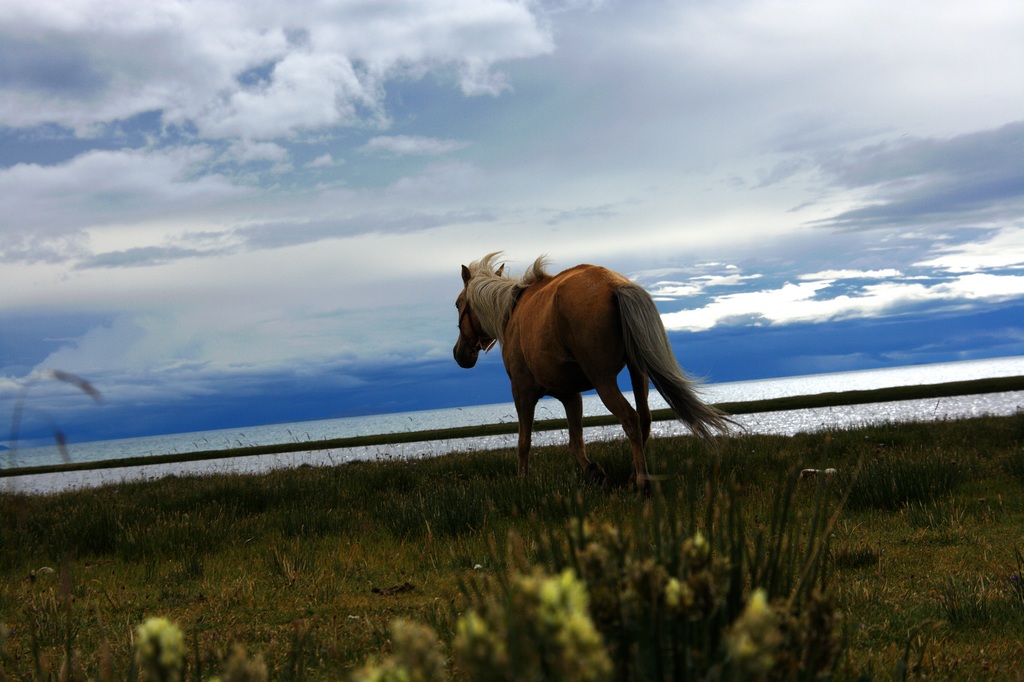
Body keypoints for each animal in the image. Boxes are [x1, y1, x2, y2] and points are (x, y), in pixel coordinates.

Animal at [452, 249, 733, 489]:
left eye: (457, 304)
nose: (459, 354)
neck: (511, 311)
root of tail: (614, 284)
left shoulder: (522, 391)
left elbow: (524, 442)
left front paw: (523, 480)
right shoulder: (570, 395)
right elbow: (576, 443)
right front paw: (594, 472)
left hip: (603, 380)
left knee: (630, 418)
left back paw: (642, 482)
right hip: (637, 372)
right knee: (644, 418)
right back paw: (632, 477)